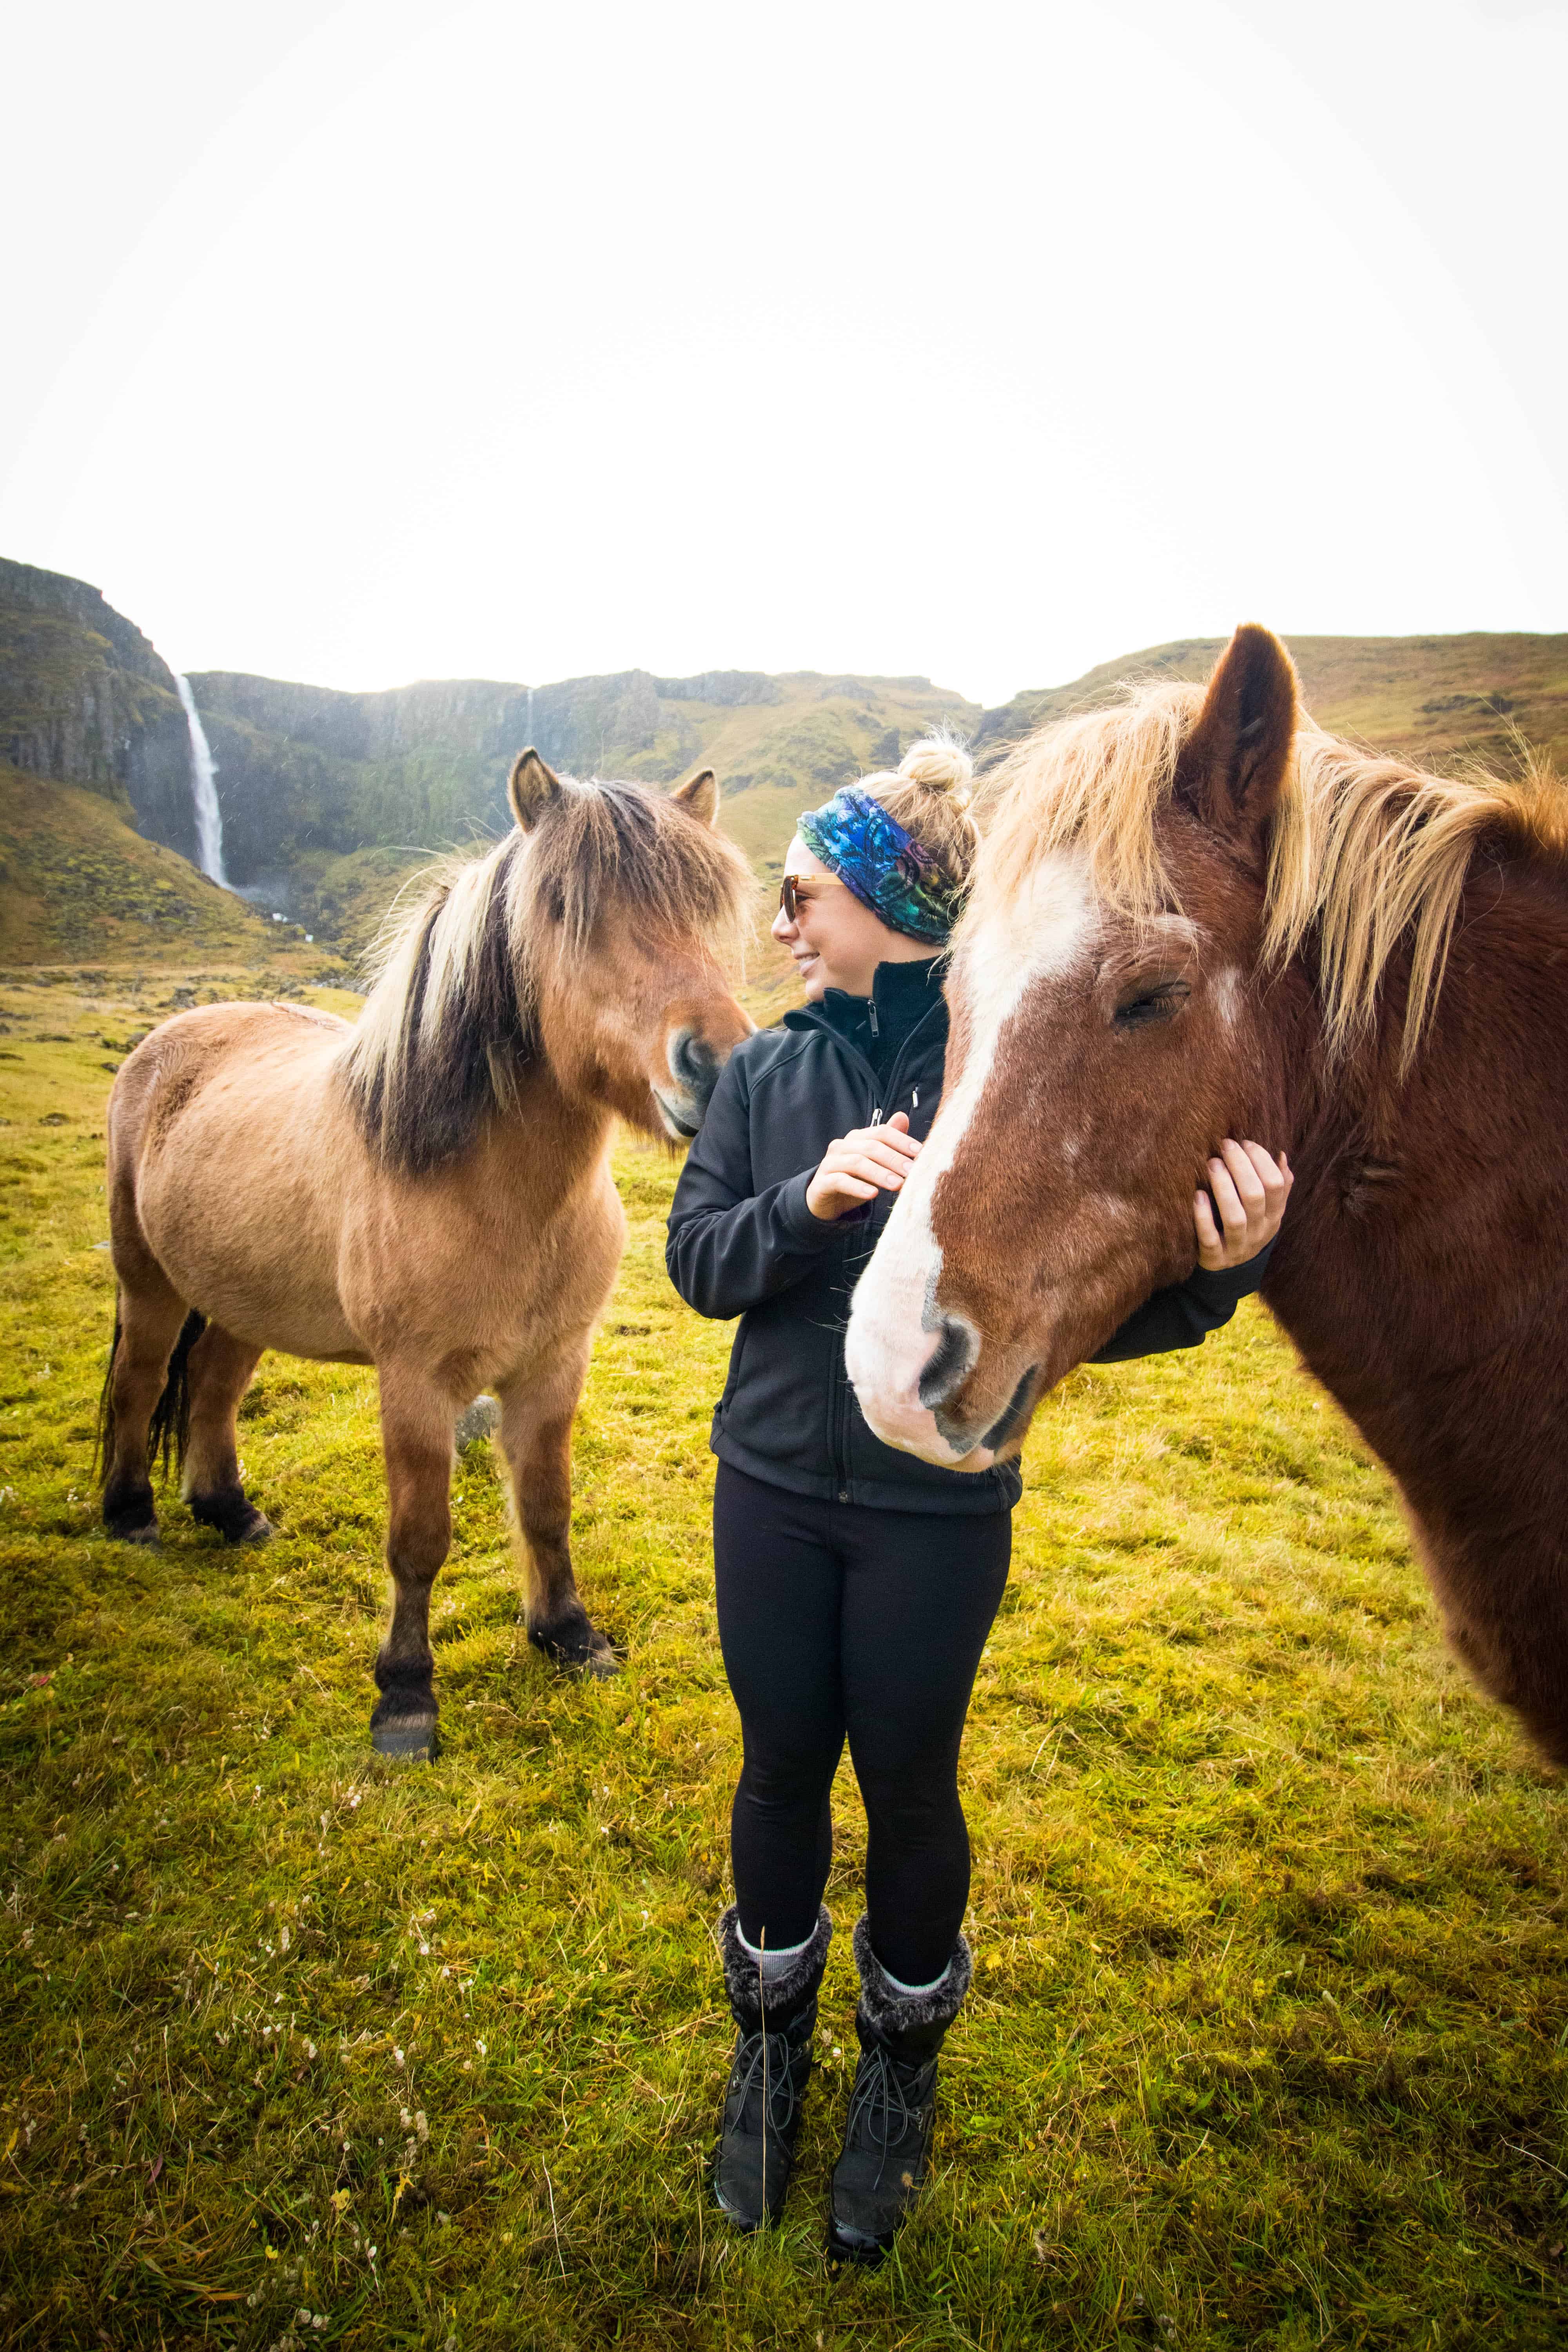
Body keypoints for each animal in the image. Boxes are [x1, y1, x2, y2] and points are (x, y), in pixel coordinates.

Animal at [98, 748, 752, 1750]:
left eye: (707, 905)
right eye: (562, 907)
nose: (716, 1068)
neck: (491, 1195)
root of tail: (165, 1041)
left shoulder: (554, 1367)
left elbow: (547, 1506)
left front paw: (568, 1634)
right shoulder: (414, 1383)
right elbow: (418, 1539)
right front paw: (405, 1695)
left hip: (240, 1300)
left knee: (211, 1387)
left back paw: (231, 1514)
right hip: (151, 1284)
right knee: (140, 1382)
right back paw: (132, 1516)